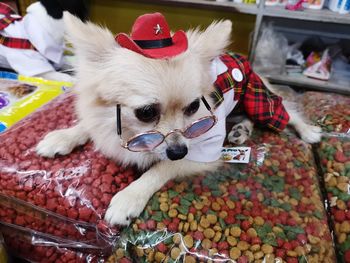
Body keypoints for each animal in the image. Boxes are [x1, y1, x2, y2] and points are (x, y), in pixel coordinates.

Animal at [36, 12, 322, 227]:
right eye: (146, 113)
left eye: (194, 107)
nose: (178, 150)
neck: (132, 135)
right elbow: (88, 126)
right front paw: (63, 136)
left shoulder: (202, 152)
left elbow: (160, 168)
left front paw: (129, 197)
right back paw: (241, 130)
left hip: (260, 99)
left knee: (288, 112)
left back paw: (308, 131)